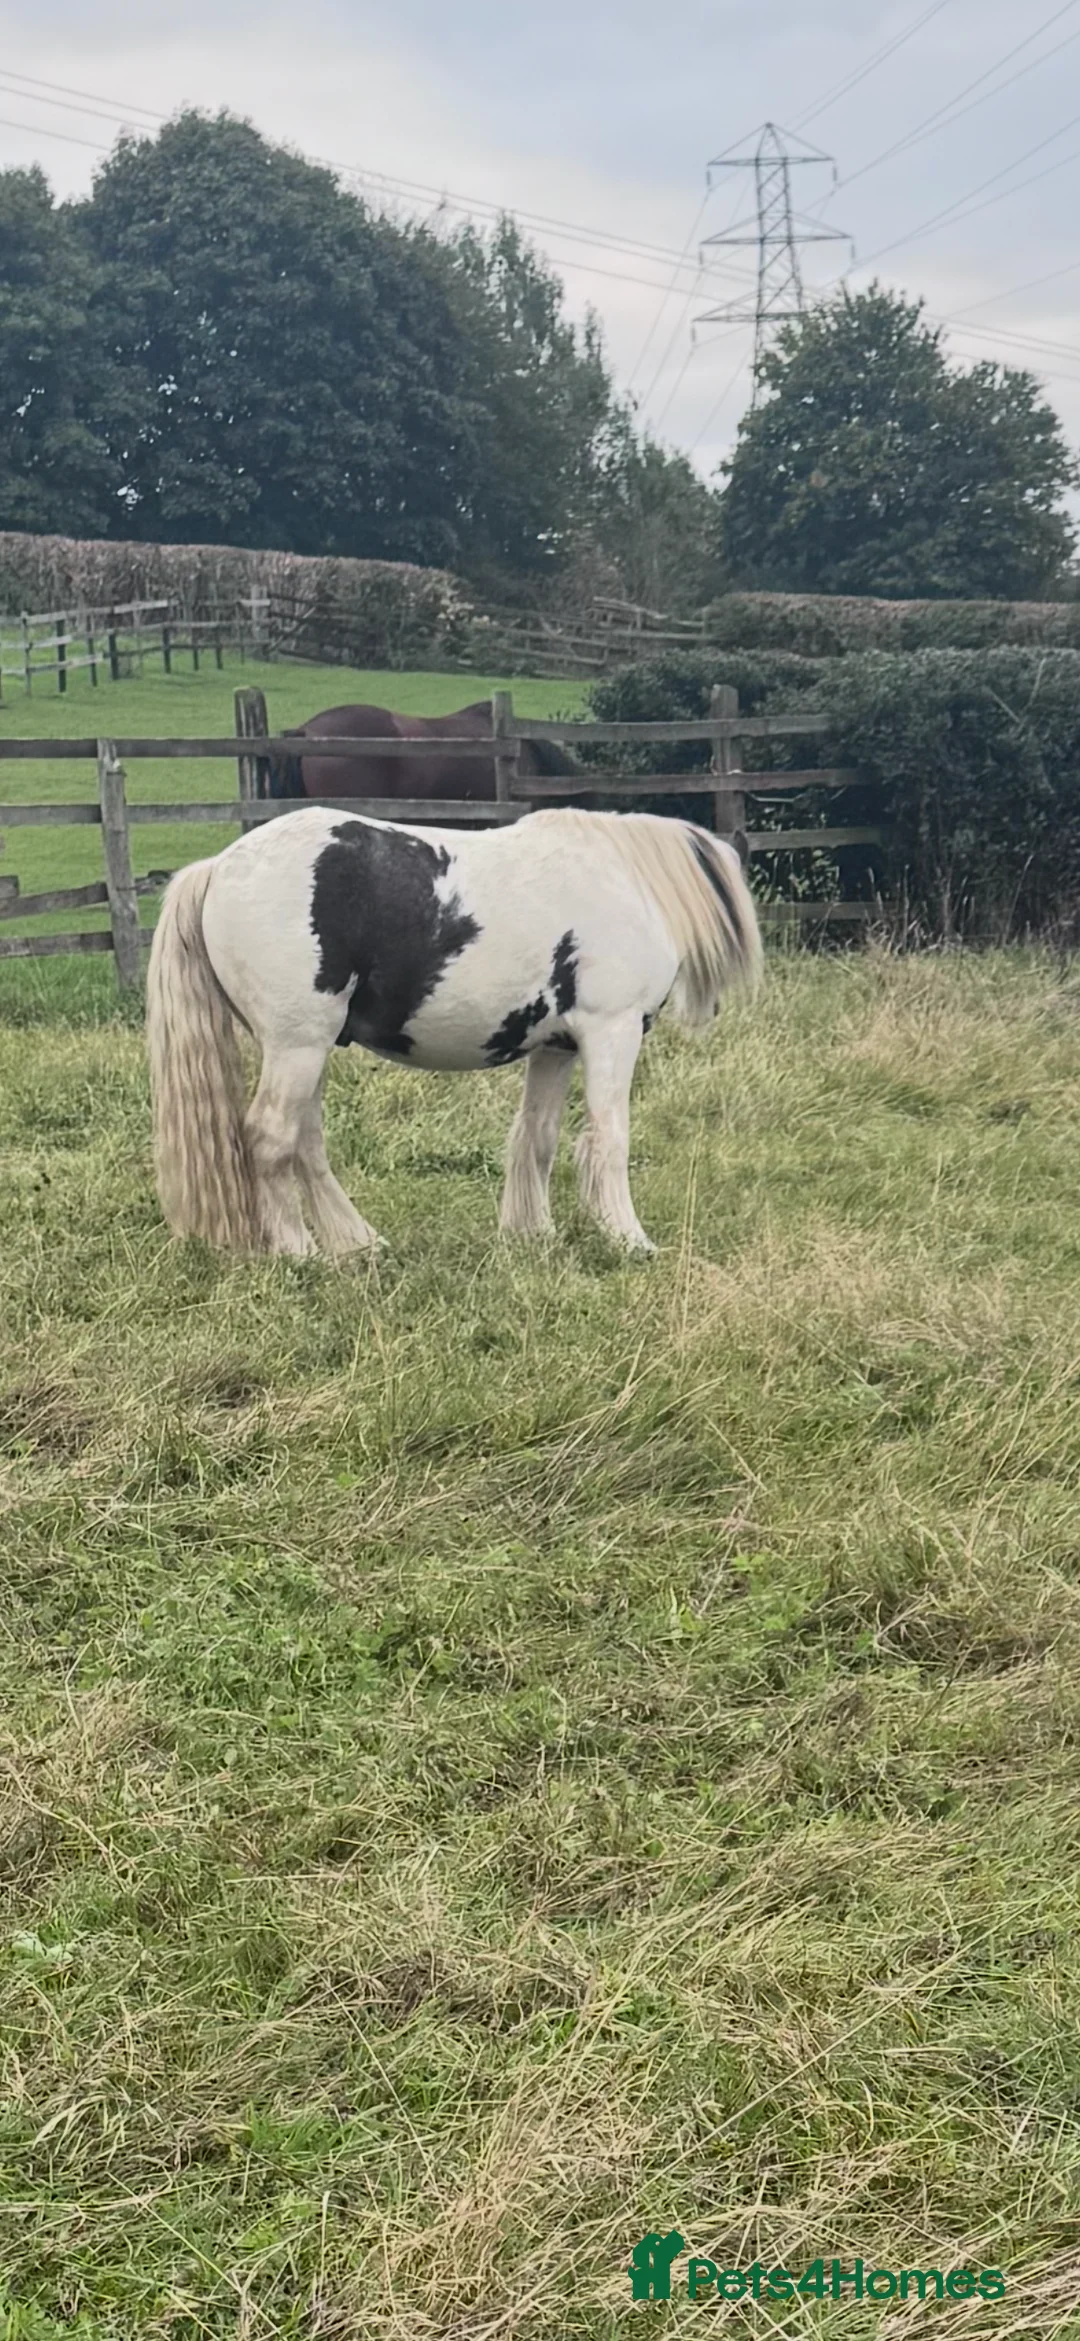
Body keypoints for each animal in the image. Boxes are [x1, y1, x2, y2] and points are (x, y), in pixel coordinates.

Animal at [146, 807, 763, 1260]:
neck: (627, 882)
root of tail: (218, 868)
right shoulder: (612, 1031)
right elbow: (609, 1139)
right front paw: (629, 1239)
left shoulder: (556, 1048)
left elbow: (537, 1138)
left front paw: (533, 1235)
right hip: (296, 1047)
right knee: (272, 1137)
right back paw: (299, 1252)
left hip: (305, 1050)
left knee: (306, 1145)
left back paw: (357, 1243)